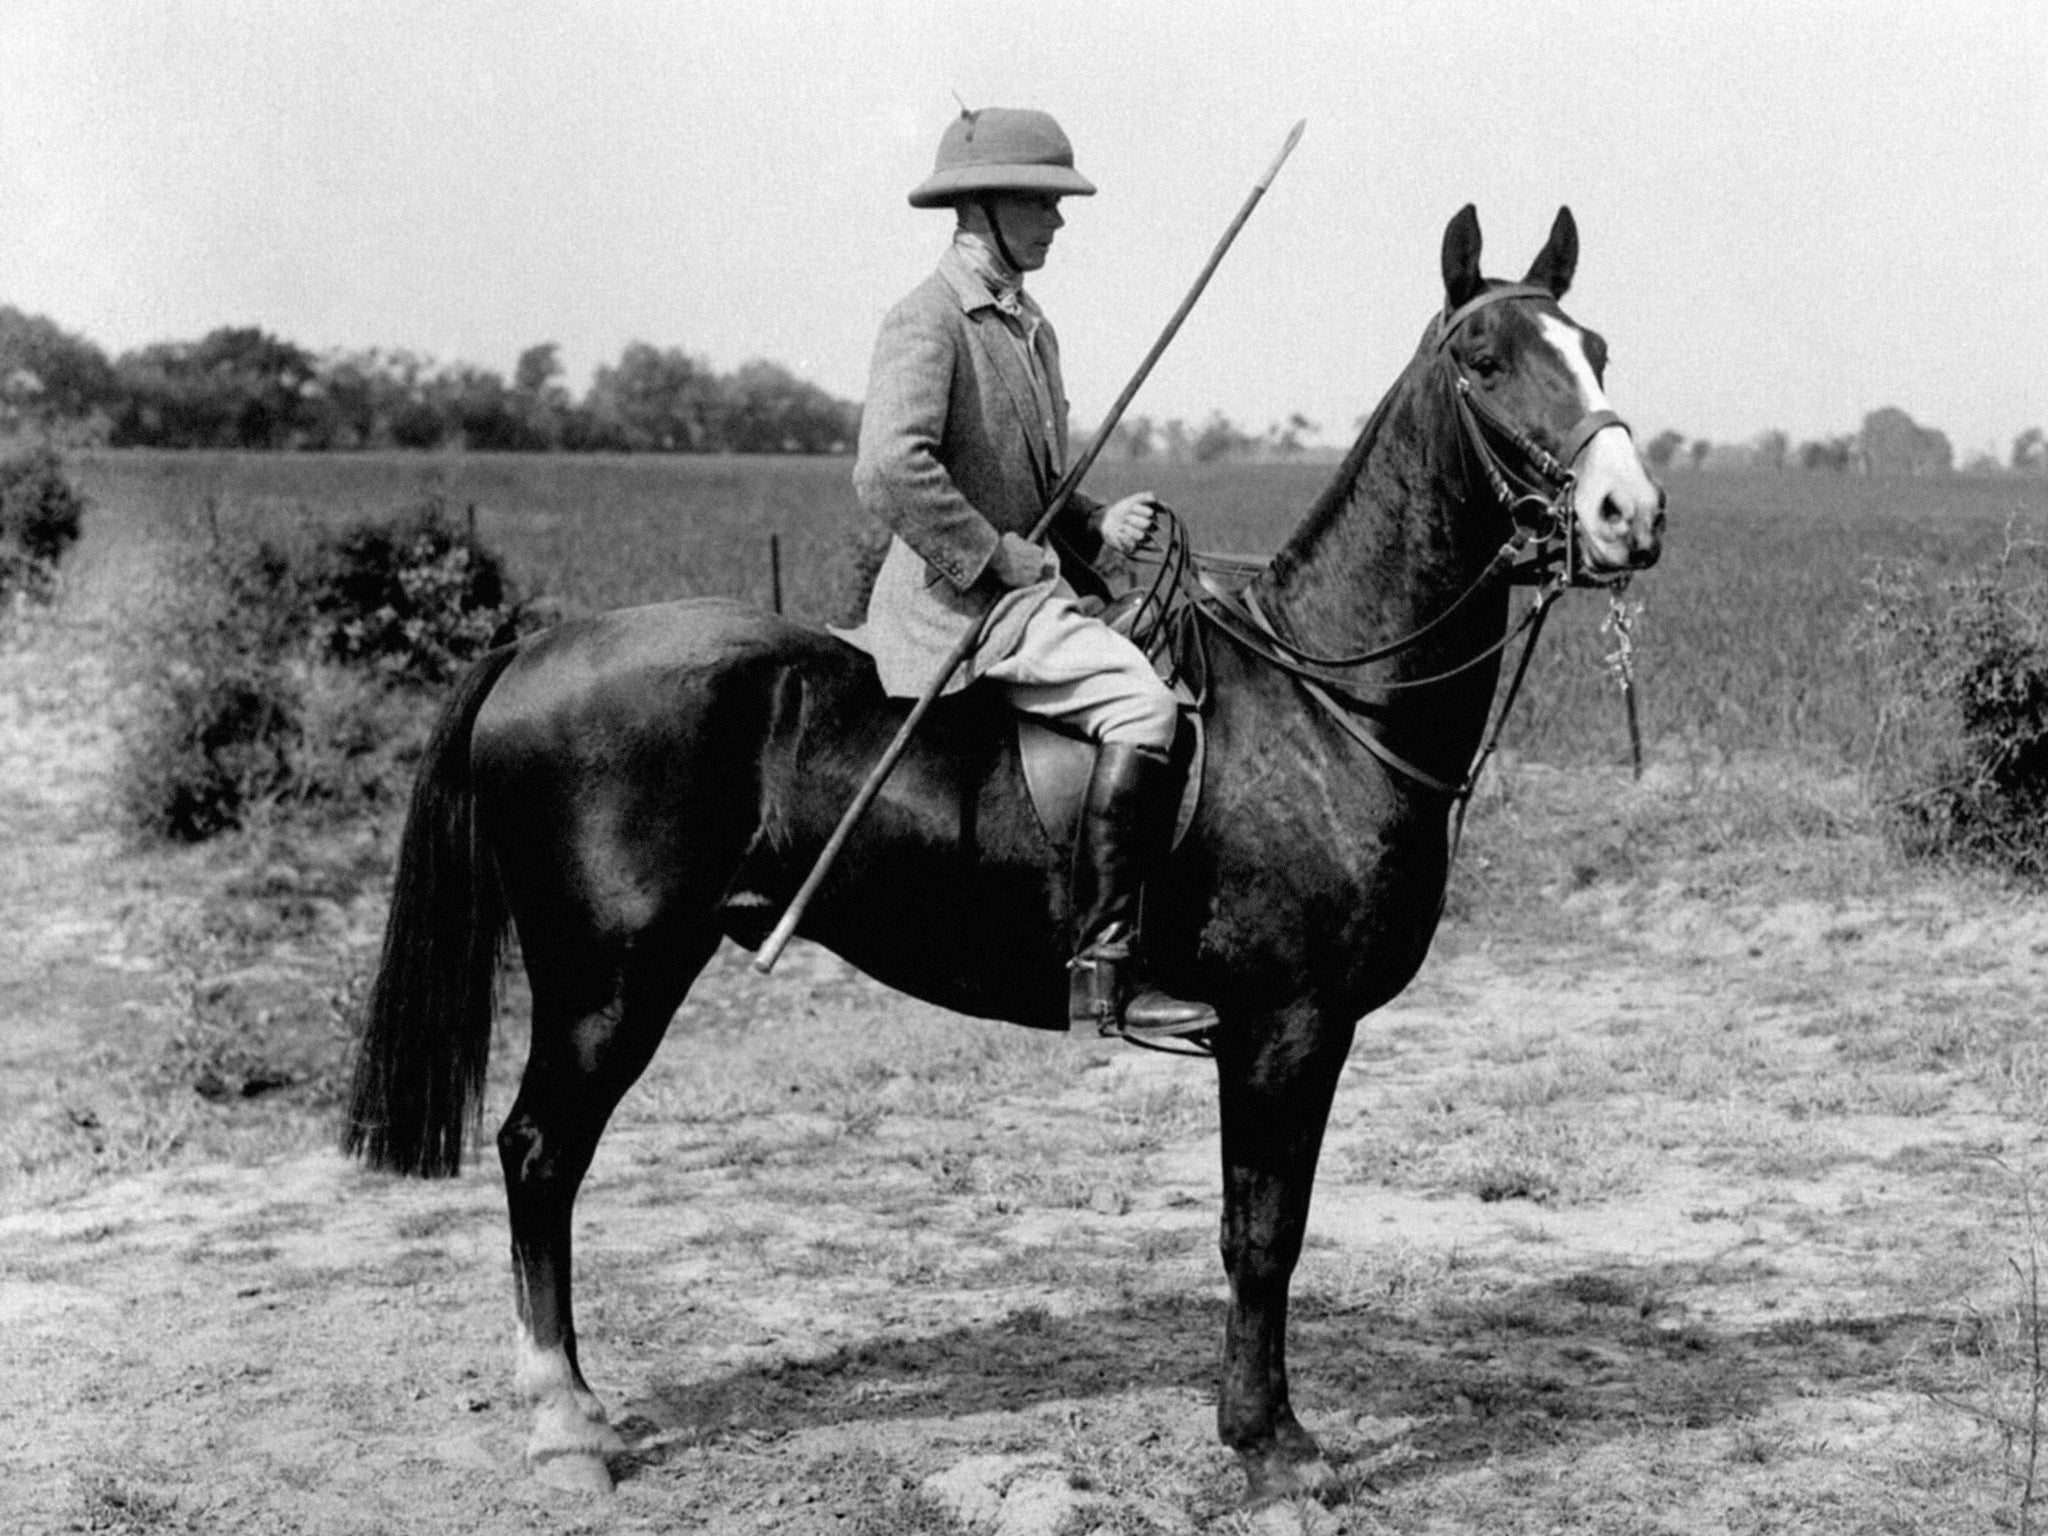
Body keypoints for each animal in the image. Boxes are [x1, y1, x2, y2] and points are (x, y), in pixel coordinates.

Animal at [348, 204, 1662, 1507]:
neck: (1319, 697)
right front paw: (1268, 1443)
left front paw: (1264, 1427)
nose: (1630, 516)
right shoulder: (1285, 1027)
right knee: (538, 1153)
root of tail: (532, 650)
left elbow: (1259, 1225)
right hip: (607, 983)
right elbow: (1262, 1233)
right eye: (1481, 360)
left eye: (1597, 345)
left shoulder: (1283, 1032)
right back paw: (563, 1422)